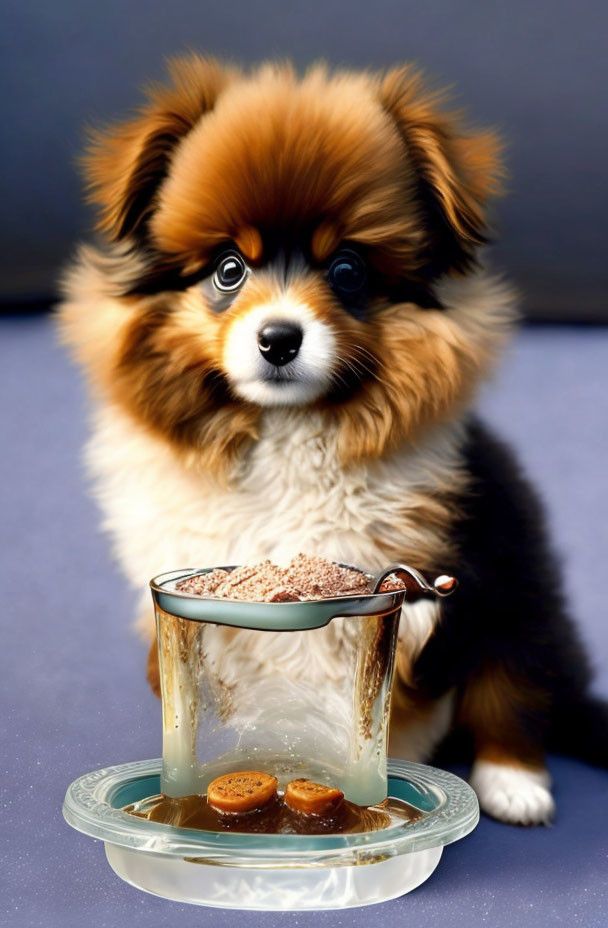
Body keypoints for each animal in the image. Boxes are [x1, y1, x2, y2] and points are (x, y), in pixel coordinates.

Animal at [58, 56, 604, 828]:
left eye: (347, 269)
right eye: (228, 268)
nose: (279, 339)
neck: (285, 429)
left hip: (521, 592)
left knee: (513, 689)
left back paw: (515, 784)